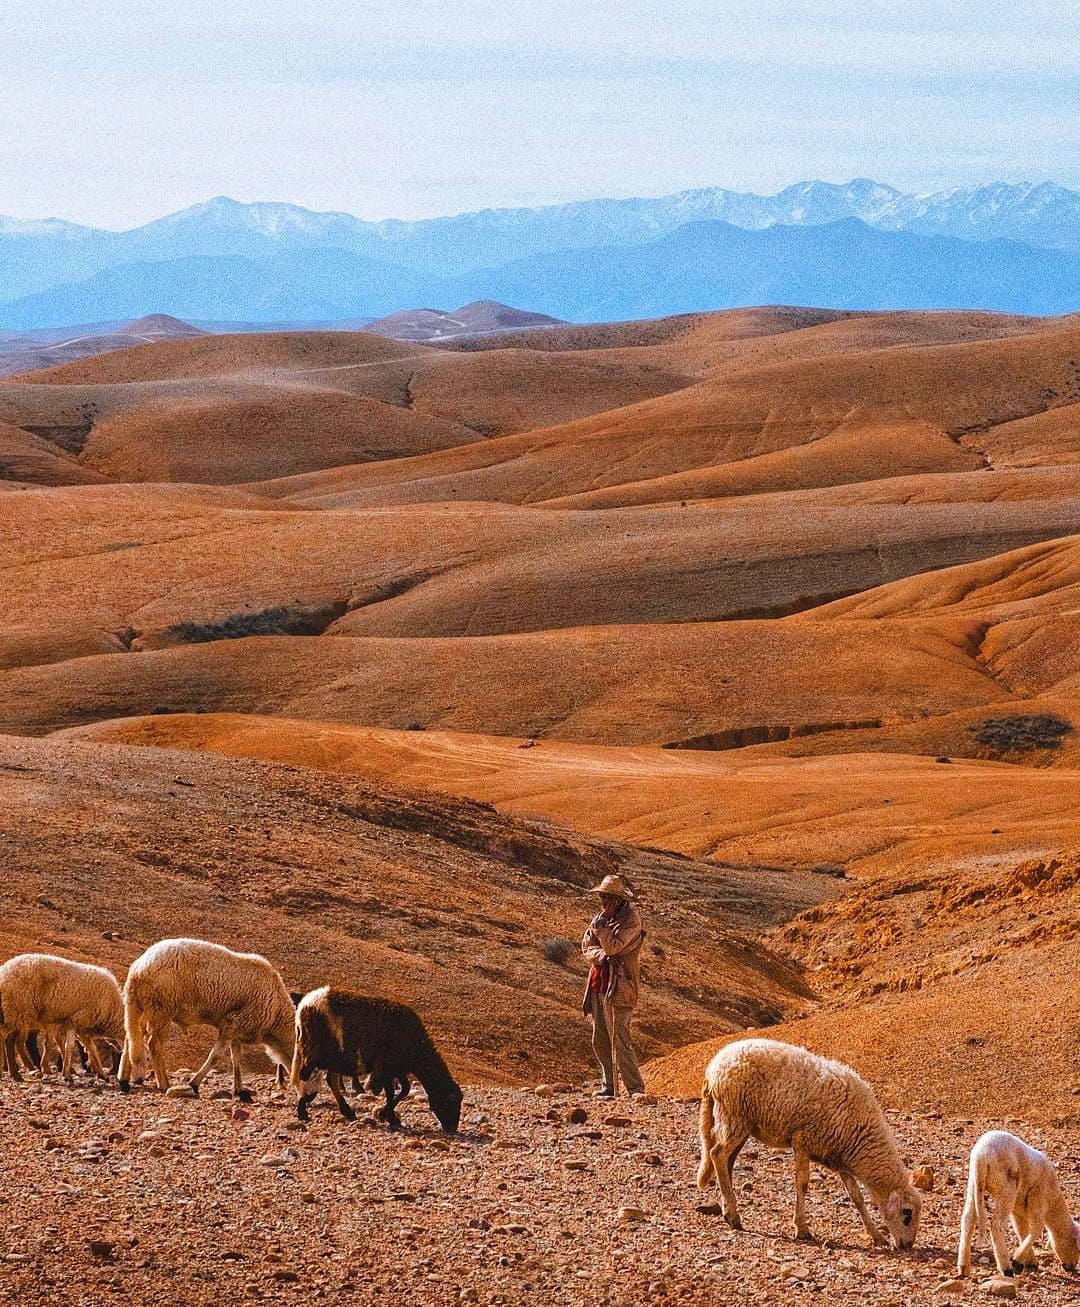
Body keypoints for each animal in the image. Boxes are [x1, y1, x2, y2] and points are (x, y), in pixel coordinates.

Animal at [0, 951, 122, 1082]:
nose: (89, 1067)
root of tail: (4, 970)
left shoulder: (75, 1024)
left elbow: (83, 1047)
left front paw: (98, 1073)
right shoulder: (78, 1020)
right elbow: (73, 1046)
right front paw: (67, 1072)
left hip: (16, 1012)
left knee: (11, 1038)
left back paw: (17, 1072)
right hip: (18, 1009)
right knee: (9, 1038)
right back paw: (16, 1071)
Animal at [117, 935, 294, 1097]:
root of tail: (137, 969)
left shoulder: (236, 1030)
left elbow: (236, 1058)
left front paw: (239, 1090)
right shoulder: (231, 1023)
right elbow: (216, 1056)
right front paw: (194, 1083)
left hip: (140, 1006)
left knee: (130, 1039)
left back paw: (124, 1081)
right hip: (162, 1009)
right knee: (153, 1044)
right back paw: (164, 1084)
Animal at [292, 988, 460, 1134]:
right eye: (448, 1101)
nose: (452, 1128)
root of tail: (305, 1003)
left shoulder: (396, 1068)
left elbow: (404, 1089)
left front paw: (386, 1115)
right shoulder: (385, 1067)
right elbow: (391, 1092)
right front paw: (389, 1117)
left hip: (332, 1058)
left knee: (330, 1081)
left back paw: (347, 1112)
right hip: (313, 1052)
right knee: (304, 1077)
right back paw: (302, 1113)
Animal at [700, 1040, 915, 1244]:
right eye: (907, 1214)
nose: (907, 1245)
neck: (861, 1136)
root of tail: (712, 1068)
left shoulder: (839, 1158)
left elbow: (857, 1197)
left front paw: (876, 1235)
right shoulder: (803, 1141)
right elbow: (802, 1184)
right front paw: (802, 1228)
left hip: (740, 1122)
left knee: (727, 1161)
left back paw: (727, 1208)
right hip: (734, 1114)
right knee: (717, 1154)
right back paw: (732, 1215)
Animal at [957, 1124, 1072, 1275]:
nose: (1071, 1267)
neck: (1054, 1199)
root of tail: (980, 1157)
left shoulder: (1018, 1210)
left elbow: (1021, 1230)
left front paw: (1029, 1261)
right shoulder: (1038, 1195)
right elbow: (1037, 1227)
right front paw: (1017, 1261)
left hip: (974, 1183)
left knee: (968, 1219)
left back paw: (963, 1267)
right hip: (1007, 1187)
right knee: (997, 1226)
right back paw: (1006, 1268)